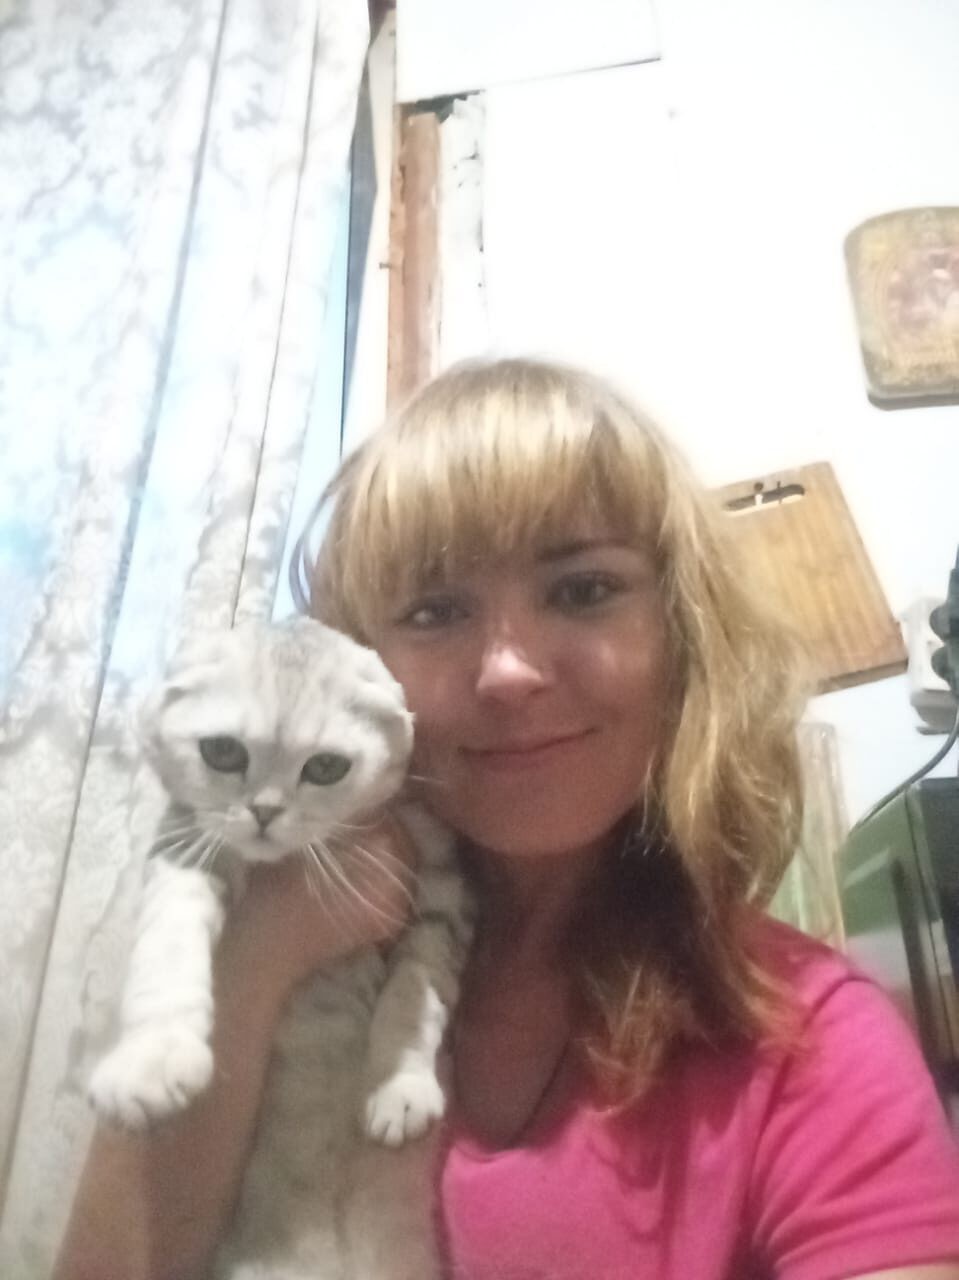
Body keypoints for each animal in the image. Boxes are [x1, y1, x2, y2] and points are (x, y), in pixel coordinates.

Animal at [88, 617, 474, 1280]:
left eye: (326, 767)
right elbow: (166, 947)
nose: (265, 812)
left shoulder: (445, 885)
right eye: (223, 752)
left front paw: (398, 1085)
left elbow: (416, 988)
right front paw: (151, 1061)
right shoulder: (186, 848)